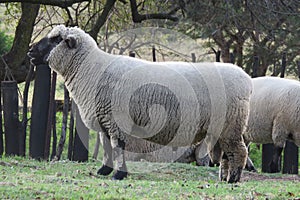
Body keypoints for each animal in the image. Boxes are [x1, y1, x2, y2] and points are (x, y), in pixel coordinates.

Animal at [28, 25, 253, 183]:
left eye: (56, 39)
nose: (30, 51)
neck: (91, 70)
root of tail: (246, 80)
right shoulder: (105, 121)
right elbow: (107, 148)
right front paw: (104, 171)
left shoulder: (116, 120)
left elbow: (117, 148)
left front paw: (118, 175)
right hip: (222, 127)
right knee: (226, 154)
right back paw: (224, 178)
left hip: (231, 124)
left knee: (238, 151)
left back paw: (233, 180)